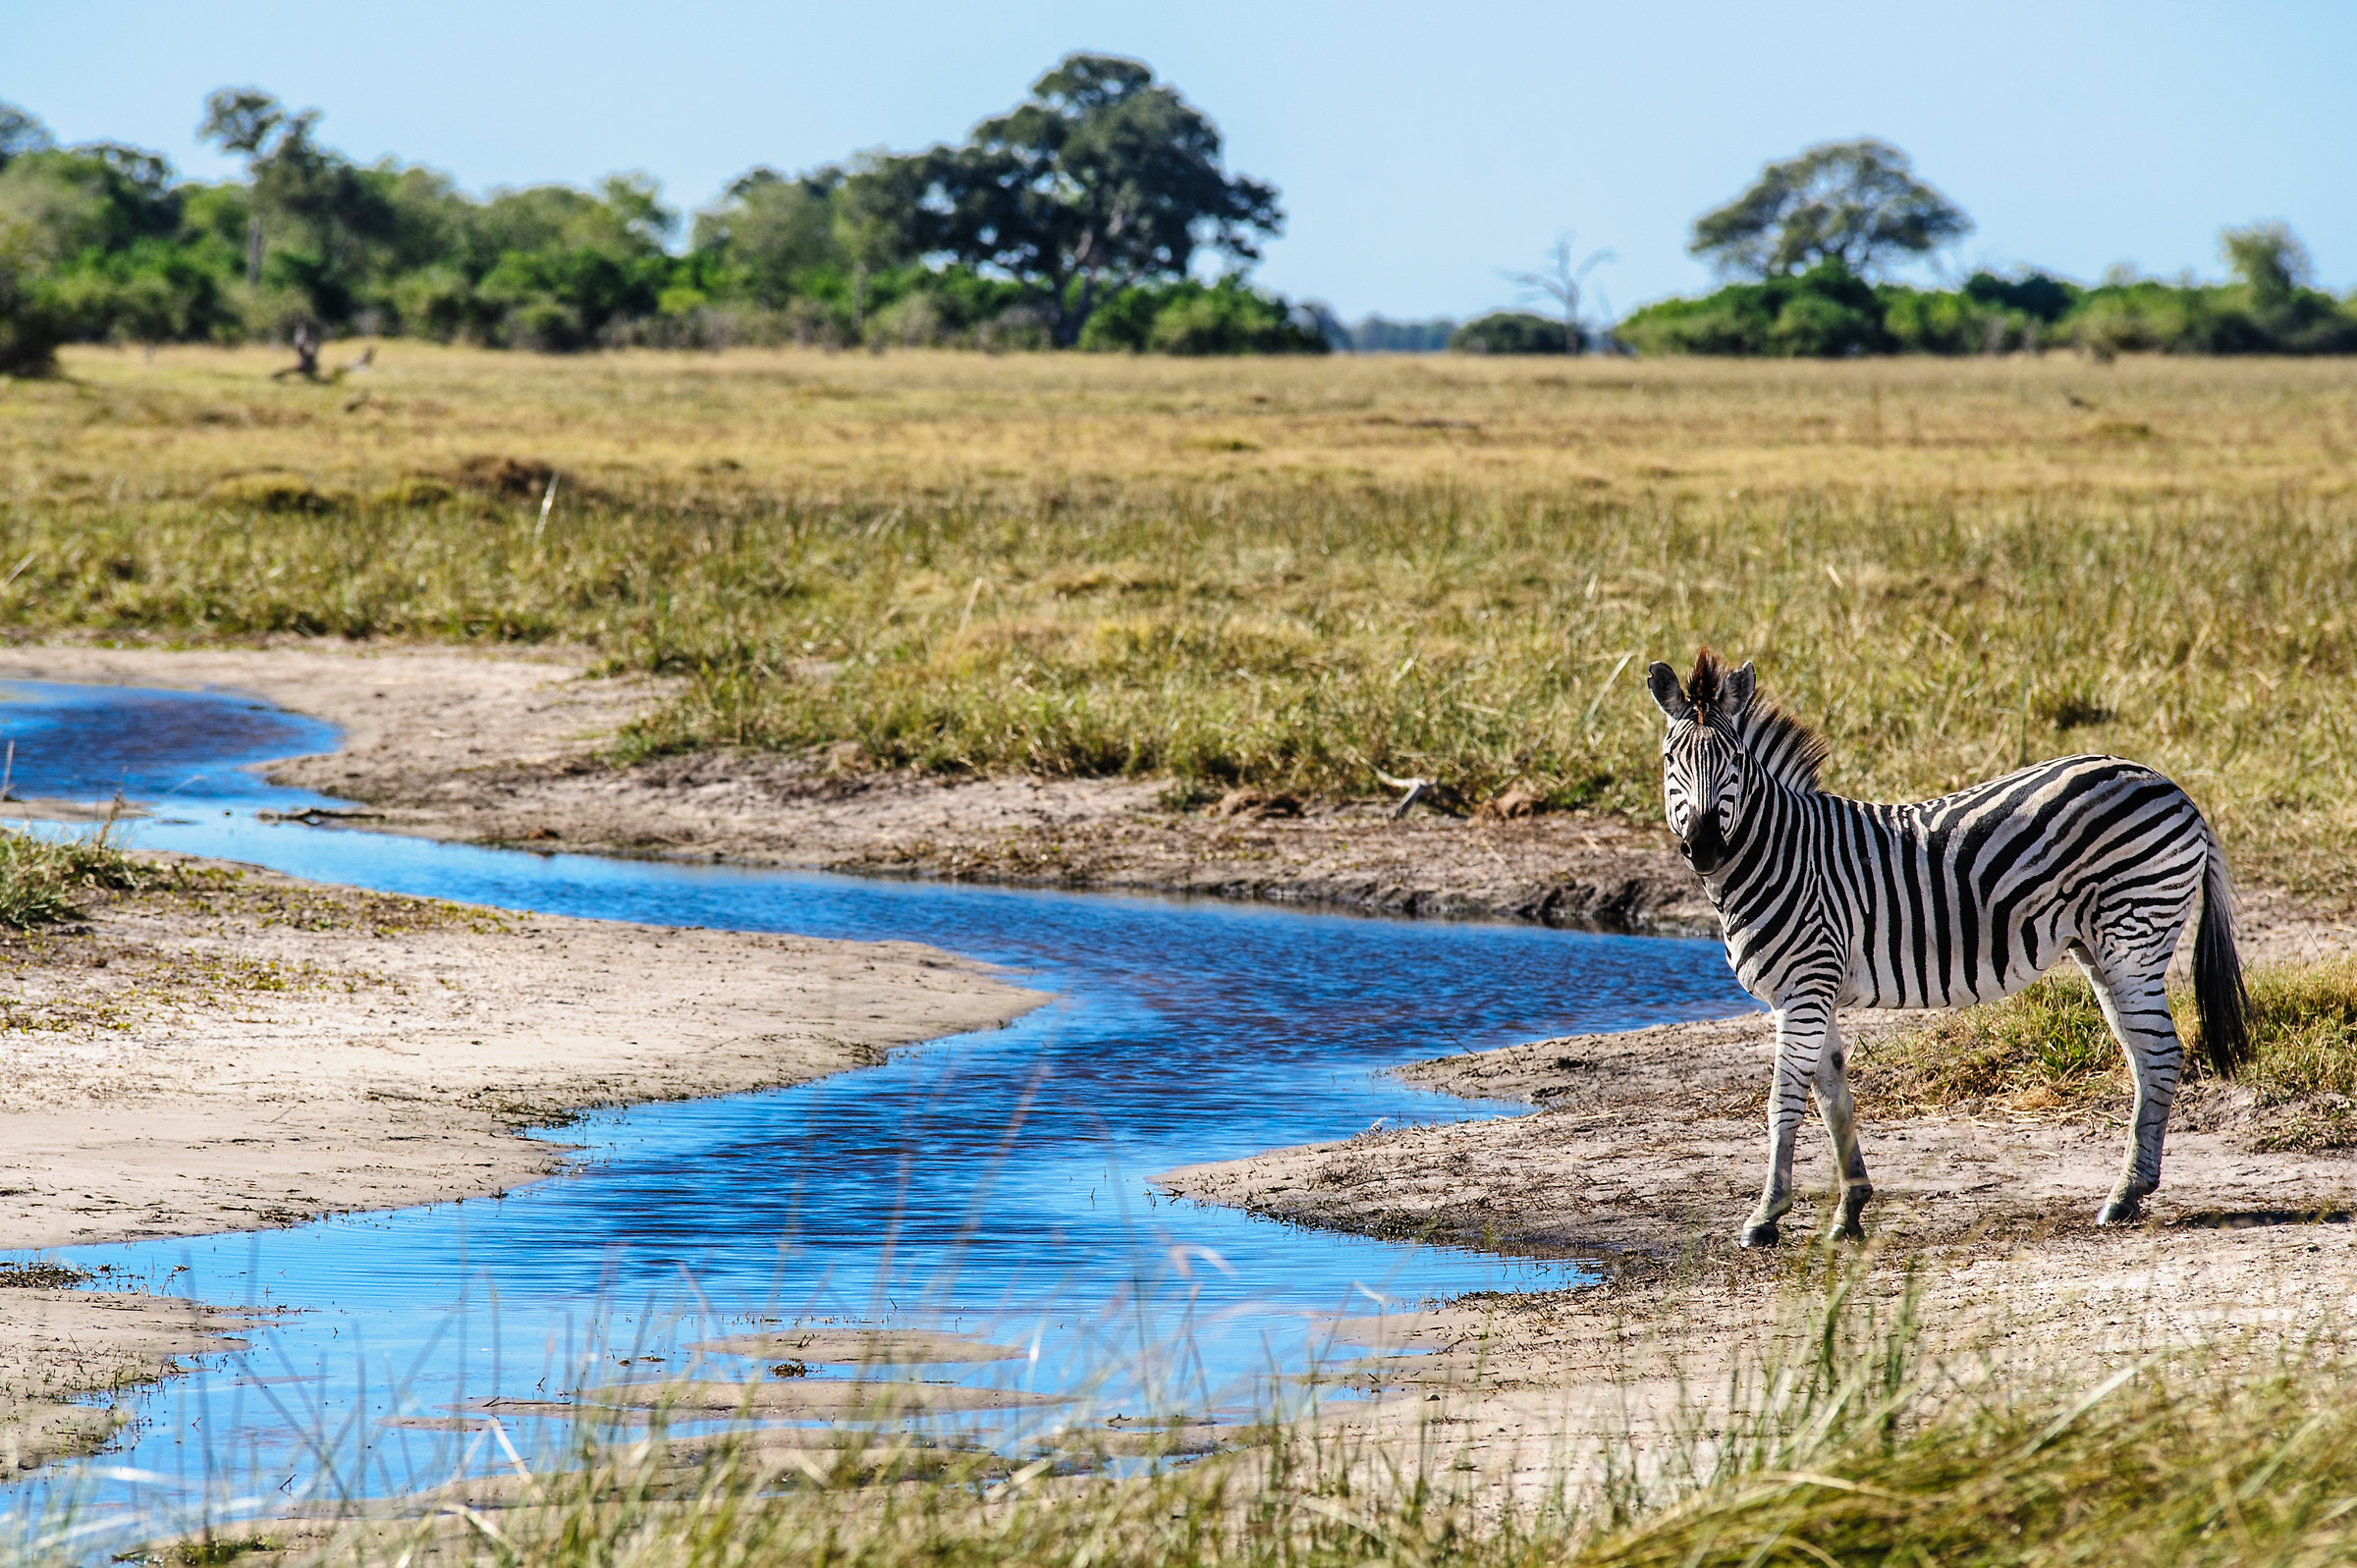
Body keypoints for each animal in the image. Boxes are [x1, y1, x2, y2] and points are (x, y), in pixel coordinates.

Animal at [1646, 649, 2248, 1247]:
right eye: (1672, 759)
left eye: (1734, 760)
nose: (1704, 846)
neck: (1780, 855)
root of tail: (2173, 788)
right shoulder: (1813, 994)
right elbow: (1834, 1096)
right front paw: (1851, 1207)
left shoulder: (1805, 986)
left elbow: (1784, 1102)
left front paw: (1766, 1216)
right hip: (2101, 951)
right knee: (2144, 1058)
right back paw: (2131, 1191)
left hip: (2134, 937)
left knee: (2162, 1055)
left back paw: (2123, 1195)